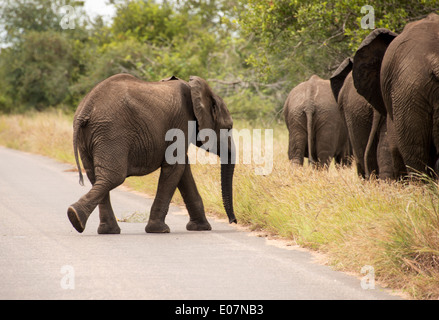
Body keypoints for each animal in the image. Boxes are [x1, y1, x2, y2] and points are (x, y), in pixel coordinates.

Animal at [68, 75, 237, 235]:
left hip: (91, 136)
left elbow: (183, 171)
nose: (233, 221)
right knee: (113, 176)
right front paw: (160, 230)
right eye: (229, 127)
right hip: (112, 132)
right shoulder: (182, 122)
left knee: (95, 176)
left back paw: (98, 227)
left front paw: (201, 228)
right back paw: (75, 217)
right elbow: (175, 167)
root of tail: (87, 107)